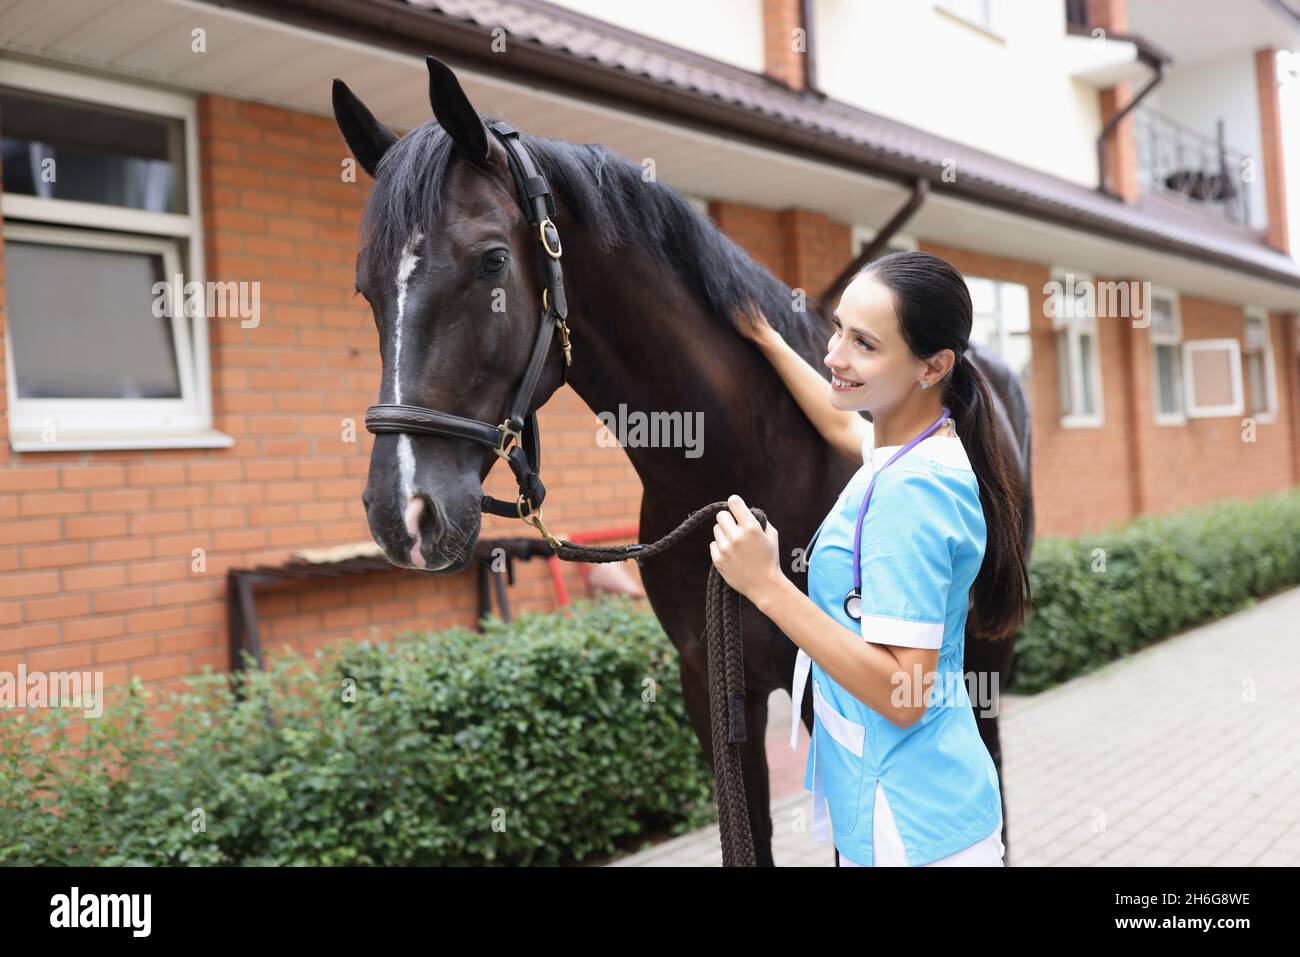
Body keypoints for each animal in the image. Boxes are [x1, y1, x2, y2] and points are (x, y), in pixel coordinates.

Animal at [334, 56, 1034, 867]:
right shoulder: (710, 684)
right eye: (364, 285)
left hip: (986, 658)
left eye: (491, 262)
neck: (739, 459)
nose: (404, 511)